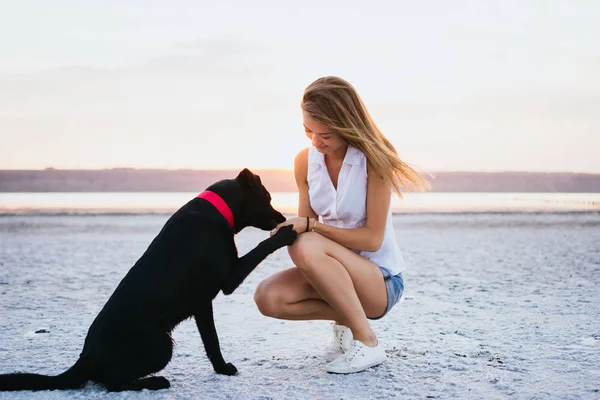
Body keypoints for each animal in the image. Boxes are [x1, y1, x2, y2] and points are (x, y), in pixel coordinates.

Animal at [0, 168, 296, 390]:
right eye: (267, 196)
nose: (282, 217)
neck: (217, 209)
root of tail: (86, 357)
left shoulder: (202, 304)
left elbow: (210, 342)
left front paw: (220, 369)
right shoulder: (226, 280)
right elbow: (259, 248)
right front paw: (285, 234)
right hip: (161, 344)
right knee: (112, 383)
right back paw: (155, 382)